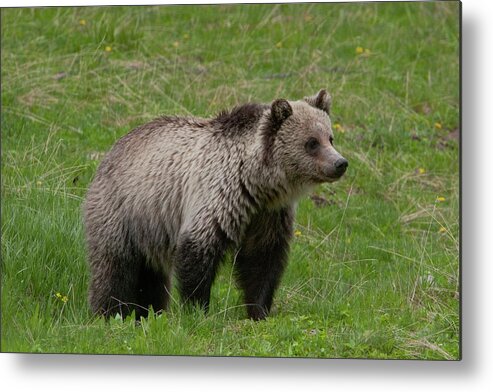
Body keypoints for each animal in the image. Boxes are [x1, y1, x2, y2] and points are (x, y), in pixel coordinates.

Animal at [82, 89, 346, 322]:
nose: (340, 163)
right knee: (114, 268)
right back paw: (109, 313)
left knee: (151, 278)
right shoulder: (217, 197)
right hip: (123, 212)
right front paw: (198, 309)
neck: (256, 182)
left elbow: (262, 260)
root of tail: (113, 149)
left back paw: (148, 312)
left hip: (150, 227)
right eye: (312, 142)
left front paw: (258, 311)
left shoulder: (267, 215)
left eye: (330, 138)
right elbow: (198, 253)